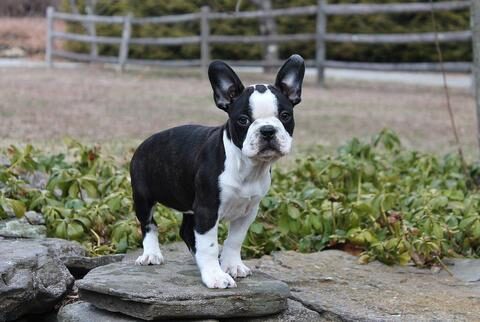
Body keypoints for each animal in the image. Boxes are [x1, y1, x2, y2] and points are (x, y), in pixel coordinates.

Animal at [129, 54, 306, 288]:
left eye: (285, 115)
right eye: (243, 120)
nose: (267, 130)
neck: (247, 167)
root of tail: (144, 143)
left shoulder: (248, 211)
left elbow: (234, 241)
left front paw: (232, 266)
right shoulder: (207, 209)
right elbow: (209, 245)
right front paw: (215, 275)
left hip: (190, 207)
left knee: (186, 231)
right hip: (143, 196)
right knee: (149, 224)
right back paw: (151, 254)